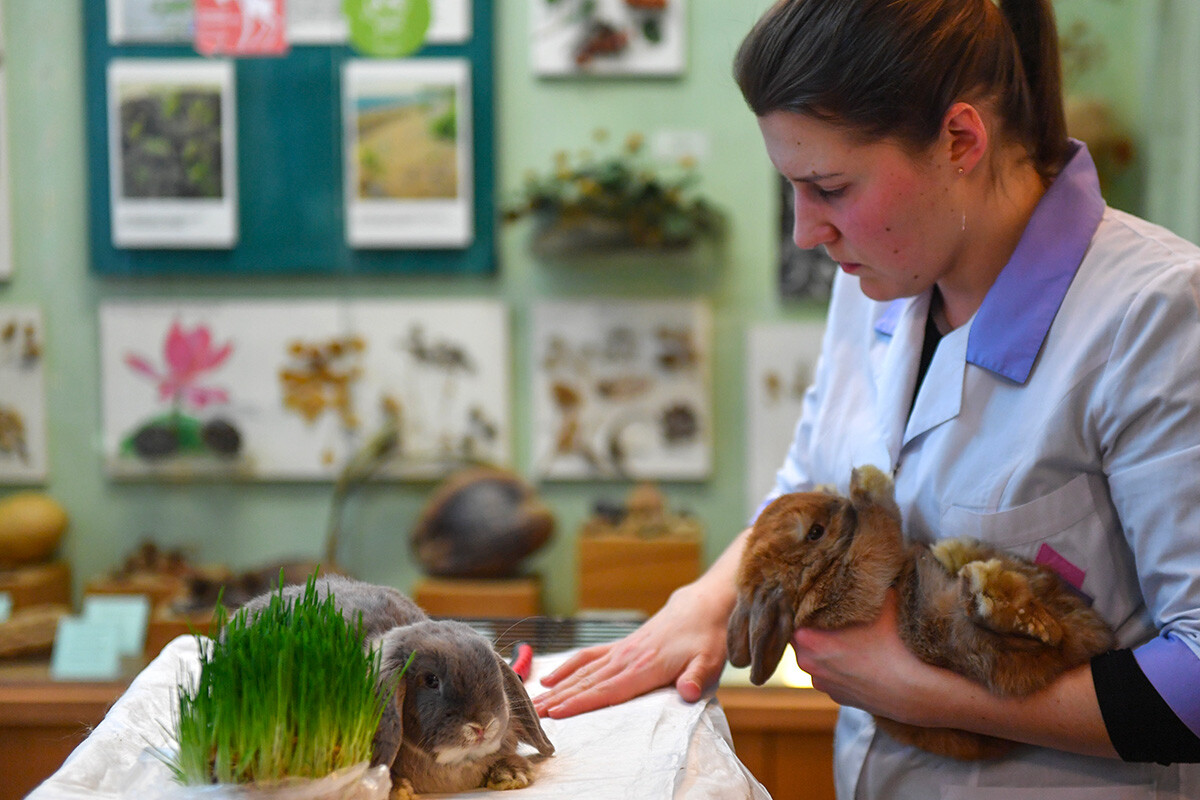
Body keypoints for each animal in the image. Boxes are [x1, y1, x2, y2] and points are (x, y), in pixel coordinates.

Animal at [724, 465, 1118, 762]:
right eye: (814, 532)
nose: (842, 502)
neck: (813, 579)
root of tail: (1087, 639)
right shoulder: (856, 581)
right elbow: (880, 533)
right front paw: (867, 483)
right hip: (967, 642)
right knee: (1020, 631)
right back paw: (997, 598)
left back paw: (958, 557)